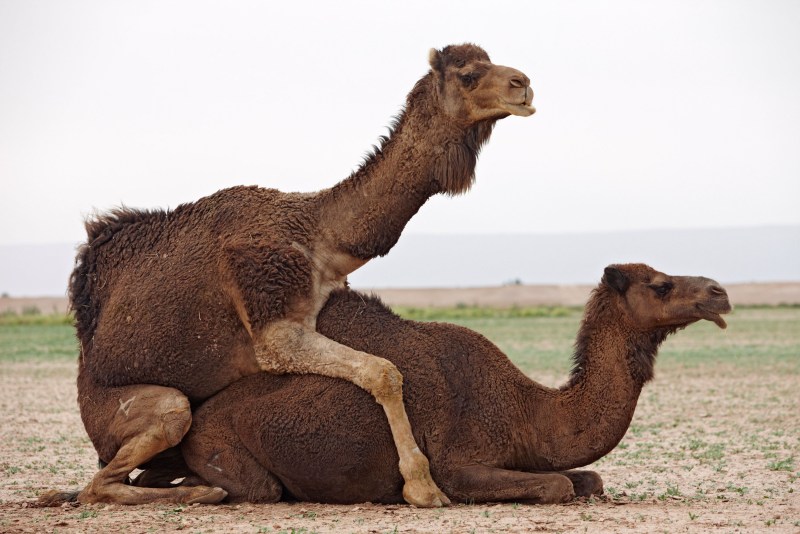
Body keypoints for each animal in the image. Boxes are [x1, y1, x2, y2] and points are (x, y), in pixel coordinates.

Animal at [65, 43, 535, 507]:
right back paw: (202, 491)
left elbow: (381, 368)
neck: (318, 236)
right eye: (469, 75)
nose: (524, 85)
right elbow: (383, 372)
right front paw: (423, 487)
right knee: (104, 480)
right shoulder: (272, 324)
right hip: (147, 408)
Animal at [170, 263, 731, 504]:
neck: (527, 409)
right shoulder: (458, 463)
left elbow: (588, 478)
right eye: (661, 285)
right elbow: (558, 485)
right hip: (222, 448)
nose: (719, 292)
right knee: (258, 488)